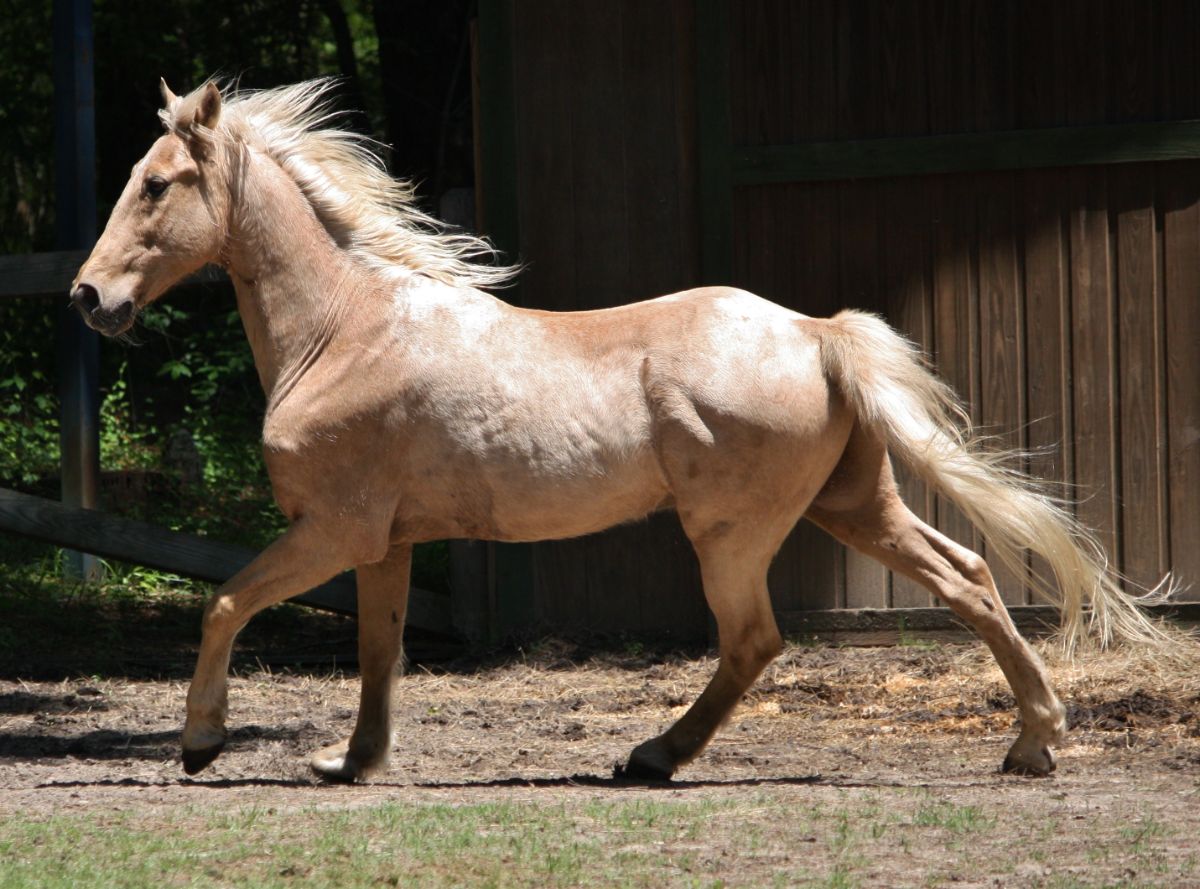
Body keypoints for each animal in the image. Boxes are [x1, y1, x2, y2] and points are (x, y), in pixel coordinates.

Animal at [72, 79, 1161, 782]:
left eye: (158, 183)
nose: (89, 297)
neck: (344, 330)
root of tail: (818, 333)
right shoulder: (384, 542)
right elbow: (380, 650)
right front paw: (352, 761)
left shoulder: (334, 529)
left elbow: (224, 602)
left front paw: (202, 742)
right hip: (855, 504)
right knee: (966, 577)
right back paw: (1032, 743)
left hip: (734, 531)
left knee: (756, 636)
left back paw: (651, 756)